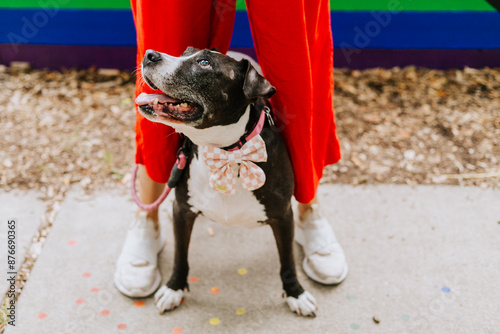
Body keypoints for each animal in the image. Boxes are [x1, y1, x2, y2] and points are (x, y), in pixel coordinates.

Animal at [135, 46, 318, 316]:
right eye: (185, 52)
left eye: (204, 63)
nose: (149, 54)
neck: (228, 152)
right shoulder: (183, 212)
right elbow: (180, 254)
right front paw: (174, 288)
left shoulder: (283, 216)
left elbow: (287, 260)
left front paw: (296, 293)